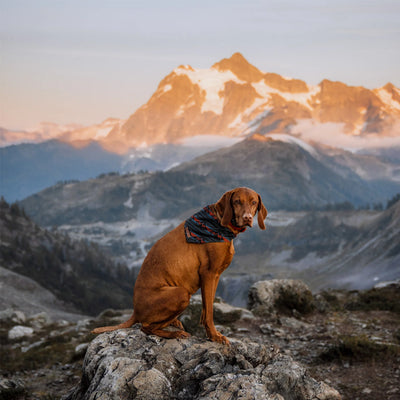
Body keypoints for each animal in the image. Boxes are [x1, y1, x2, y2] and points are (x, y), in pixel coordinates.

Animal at [92, 188, 268, 344]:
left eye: (253, 202)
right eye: (237, 201)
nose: (247, 217)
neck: (218, 224)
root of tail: (135, 310)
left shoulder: (216, 276)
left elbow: (207, 307)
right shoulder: (208, 274)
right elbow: (210, 312)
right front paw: (214, 335)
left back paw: (174, 322)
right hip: (181, 293)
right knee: (146, 327)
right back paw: (174, 333)